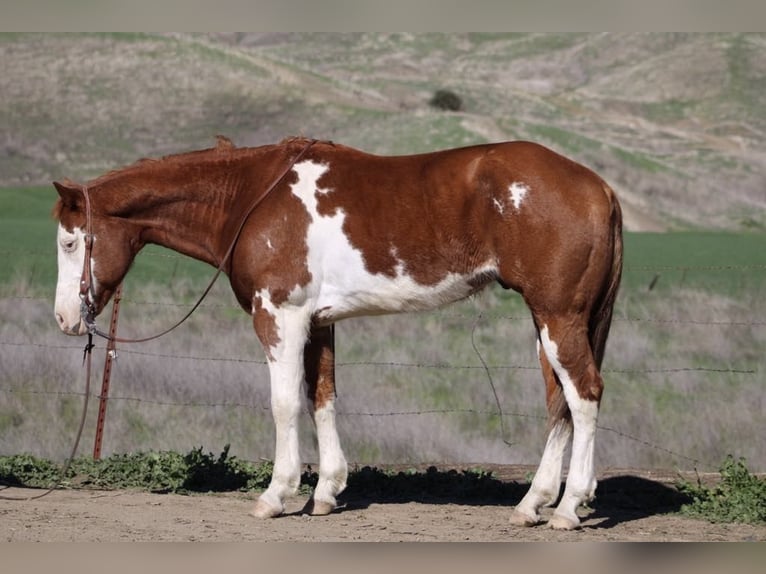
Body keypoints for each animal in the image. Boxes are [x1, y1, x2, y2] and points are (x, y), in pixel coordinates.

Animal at [53, 135, 623, 530]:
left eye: (69, 242)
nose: (64, 319)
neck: (251, 198)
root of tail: (598, 186)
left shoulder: (279, 316)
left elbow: (285, 404)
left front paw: (276, 494)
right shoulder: (319, 322)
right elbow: (321, 397)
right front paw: (325, 493)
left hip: (558, 316)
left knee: (585, 396)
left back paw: (568, 508)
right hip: (548, 323)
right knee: (560, 404)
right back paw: (533, 504)